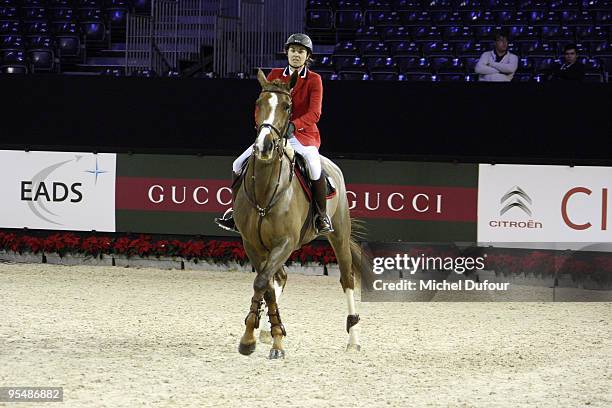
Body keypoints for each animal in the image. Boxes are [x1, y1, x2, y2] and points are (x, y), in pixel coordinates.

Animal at [235, 70, 368, 360]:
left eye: (287, 107)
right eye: (258, 103)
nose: (264, 146)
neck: (265, 190)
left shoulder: (285, 241)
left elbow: (262, 282)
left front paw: (267, 341)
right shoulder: (252, 244)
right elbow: (265, 286)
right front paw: (258, 335)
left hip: (339, 235)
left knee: (347, 278)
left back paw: (353, 340)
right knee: (279, 278)